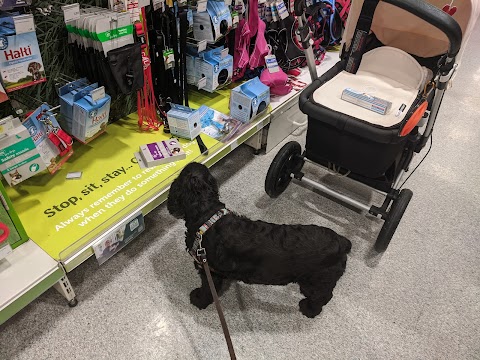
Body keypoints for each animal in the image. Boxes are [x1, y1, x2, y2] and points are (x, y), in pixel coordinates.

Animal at [167, 162, 350, 316]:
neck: (207, 214)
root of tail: (342, 242)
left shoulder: (208, 270)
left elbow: (207, 289)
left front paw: (198, 299)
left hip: (317, 281)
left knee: (322, 297)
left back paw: (309, 310)